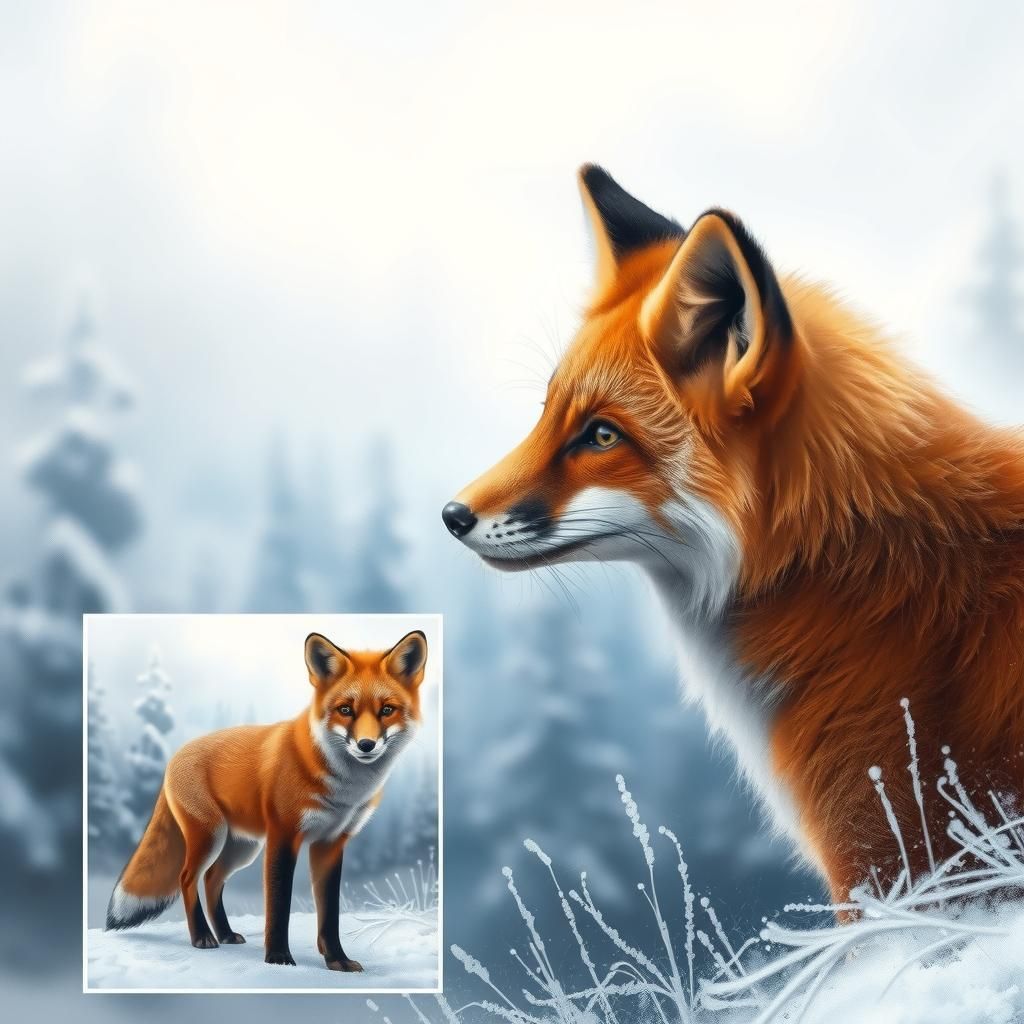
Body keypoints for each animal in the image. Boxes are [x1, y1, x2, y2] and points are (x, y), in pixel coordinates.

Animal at [105, 629, 428, 970]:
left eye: (386, 710)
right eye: (345, 710)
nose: (366, 745)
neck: (344, 788)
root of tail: (175, 755)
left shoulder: (330, 843)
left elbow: (329, 914)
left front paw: (337, 961)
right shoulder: (283, 835)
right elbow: (278, 905)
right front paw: (278, 957)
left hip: (241, 848)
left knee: (212, 879)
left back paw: (224, 933)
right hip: (210, 837)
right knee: (187, 878)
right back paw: (202, 937)